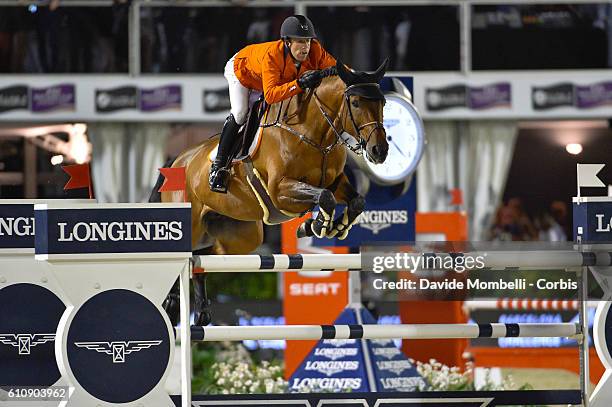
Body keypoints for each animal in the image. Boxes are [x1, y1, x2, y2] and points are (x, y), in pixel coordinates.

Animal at [152, 59, 388, 326]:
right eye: (356, 102)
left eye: (382, 103)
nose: (380, 151)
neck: (313, 134)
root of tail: (177, 160)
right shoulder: (280, 190)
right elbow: (323, 197)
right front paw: (316, 226)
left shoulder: (336, 182)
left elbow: (354, 201)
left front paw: (328, 227)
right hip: (191, 225)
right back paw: (172, 304)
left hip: (241, 236)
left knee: (202, 260)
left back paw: (200, 312)